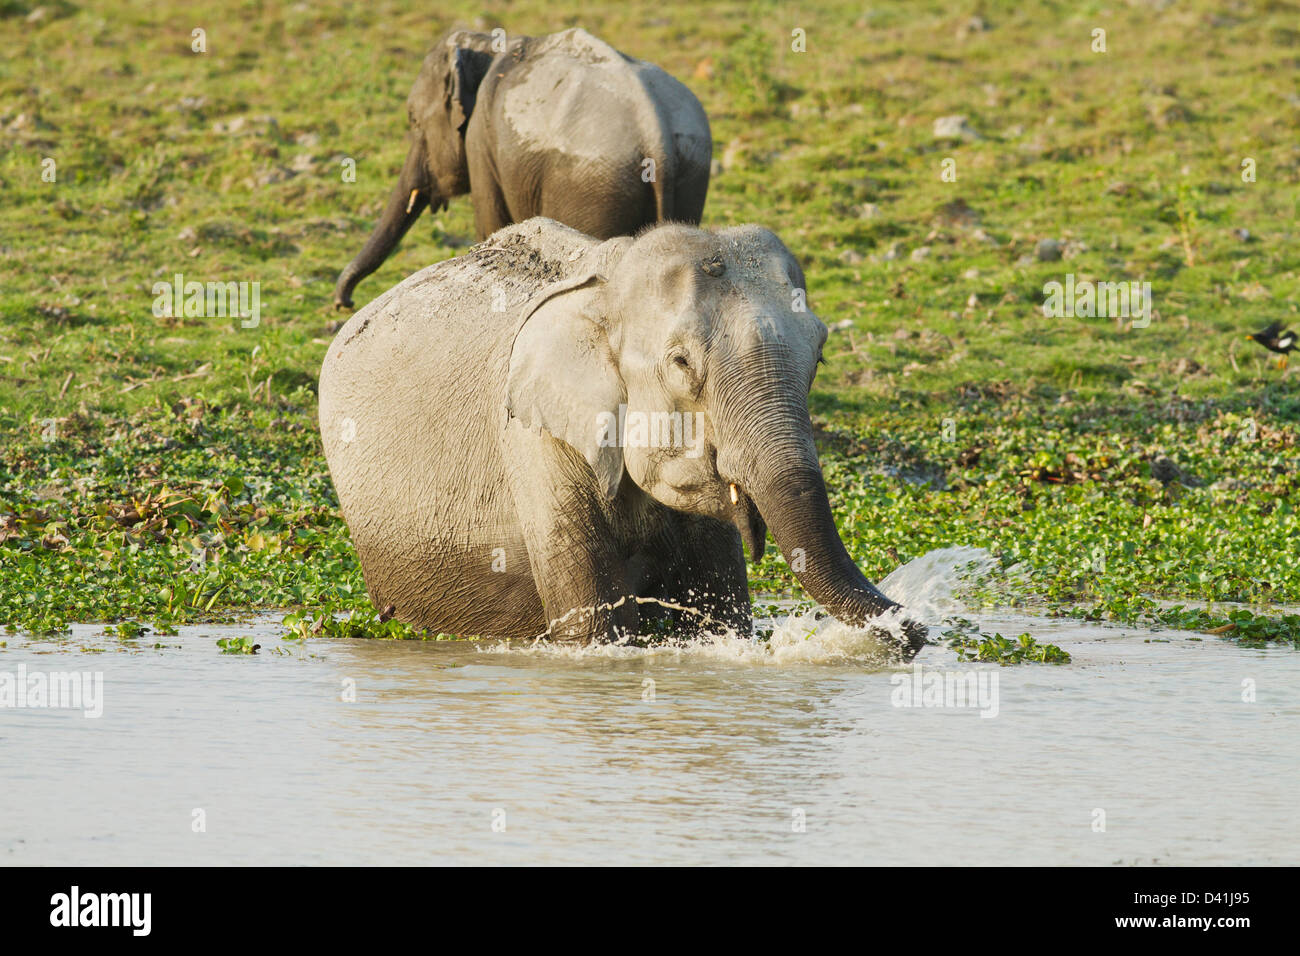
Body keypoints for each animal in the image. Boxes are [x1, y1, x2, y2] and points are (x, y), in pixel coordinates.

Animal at [317, 217, 925, 658]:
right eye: (682, 363)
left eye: (819, 355)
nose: (915, 633)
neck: (609, 283)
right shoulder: (534, 439)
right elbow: (596, 632)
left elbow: (720, 613)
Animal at [327, 28, 712, 306]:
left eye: (413, 119)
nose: (345, 302)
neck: (487, 45)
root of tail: (657, 134)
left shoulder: (481, 143)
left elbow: (491, 224)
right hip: (688, 175)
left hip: (592, 190)